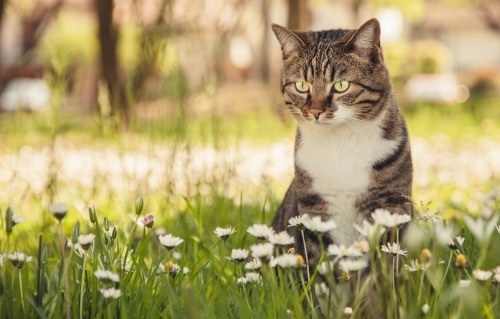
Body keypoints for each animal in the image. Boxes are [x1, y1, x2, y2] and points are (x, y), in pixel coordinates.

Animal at [272, 18, 412, 270]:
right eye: (301, 86)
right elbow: (322, 266)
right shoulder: (314, 211)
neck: (339, 143)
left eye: (341, 85)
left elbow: (384, 266)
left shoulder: (391, 206)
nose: (316, 111)